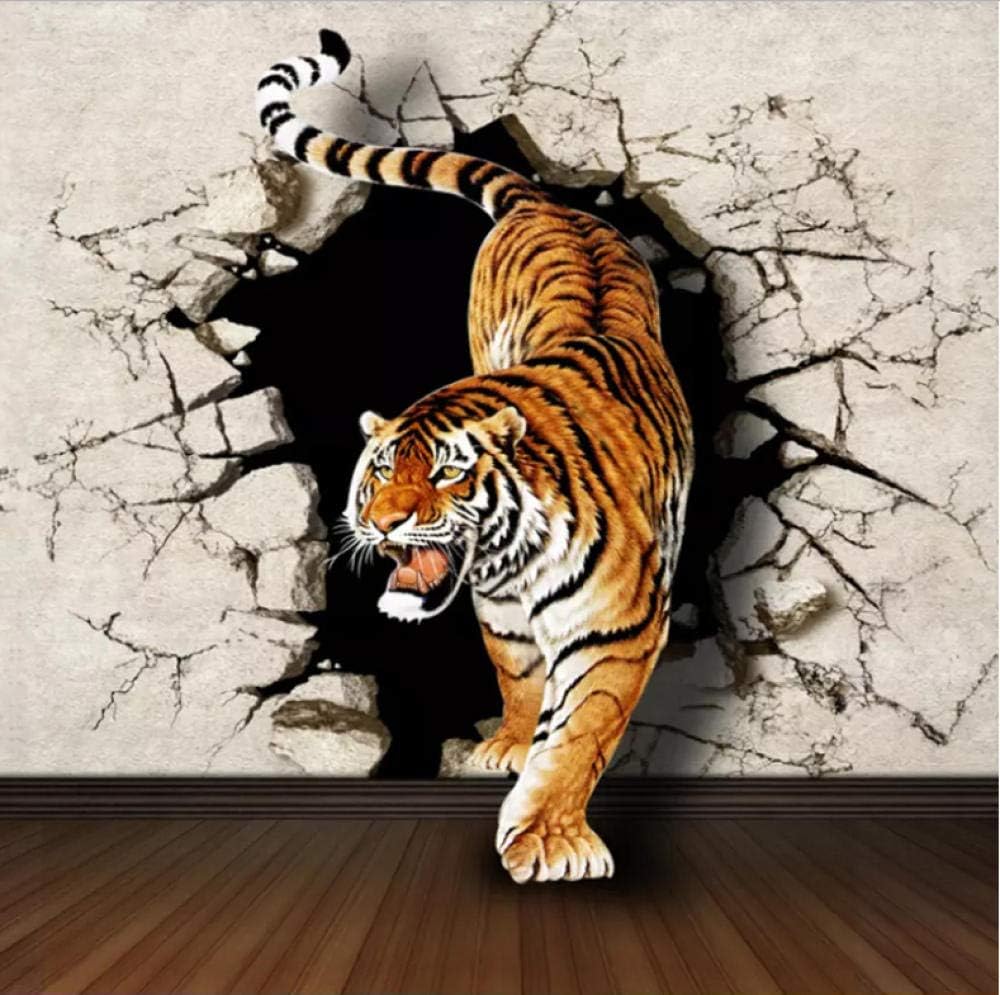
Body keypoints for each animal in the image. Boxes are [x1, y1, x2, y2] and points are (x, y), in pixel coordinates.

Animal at [256, 29, 693, 883]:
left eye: (448, 473)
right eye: (380, 473)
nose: (384, 525)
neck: (512, 559)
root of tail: (550, 201)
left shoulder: (619, 629)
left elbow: (581, 733)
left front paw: (549, 839)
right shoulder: (500, 612)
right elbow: (520, 679)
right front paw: (510, 746)